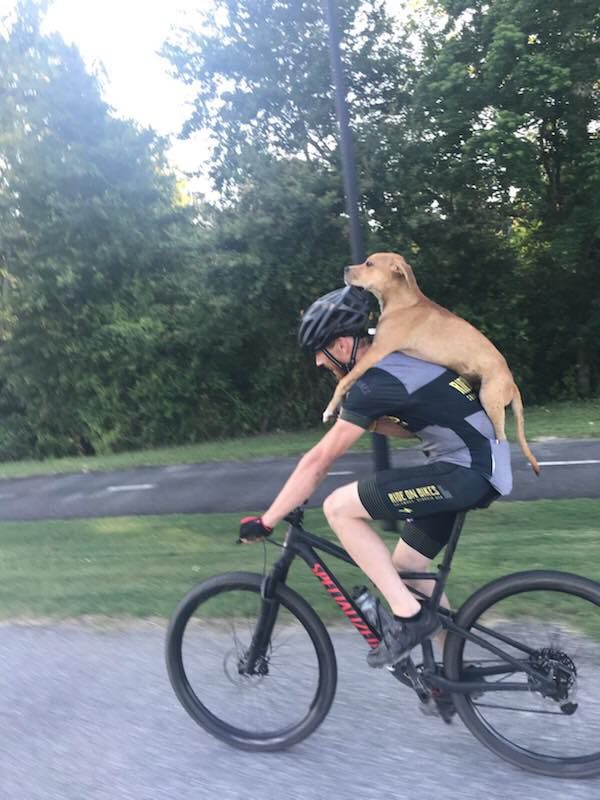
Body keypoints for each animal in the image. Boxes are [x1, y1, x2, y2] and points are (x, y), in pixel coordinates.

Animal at [326, 252, 540, 476]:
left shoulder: (377, 352)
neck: (402, 304)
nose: (345, 269)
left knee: (502, 439)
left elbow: (344, 380)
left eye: (369, 263)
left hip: (490, 401)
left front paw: (330, 409)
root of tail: (512, 385)